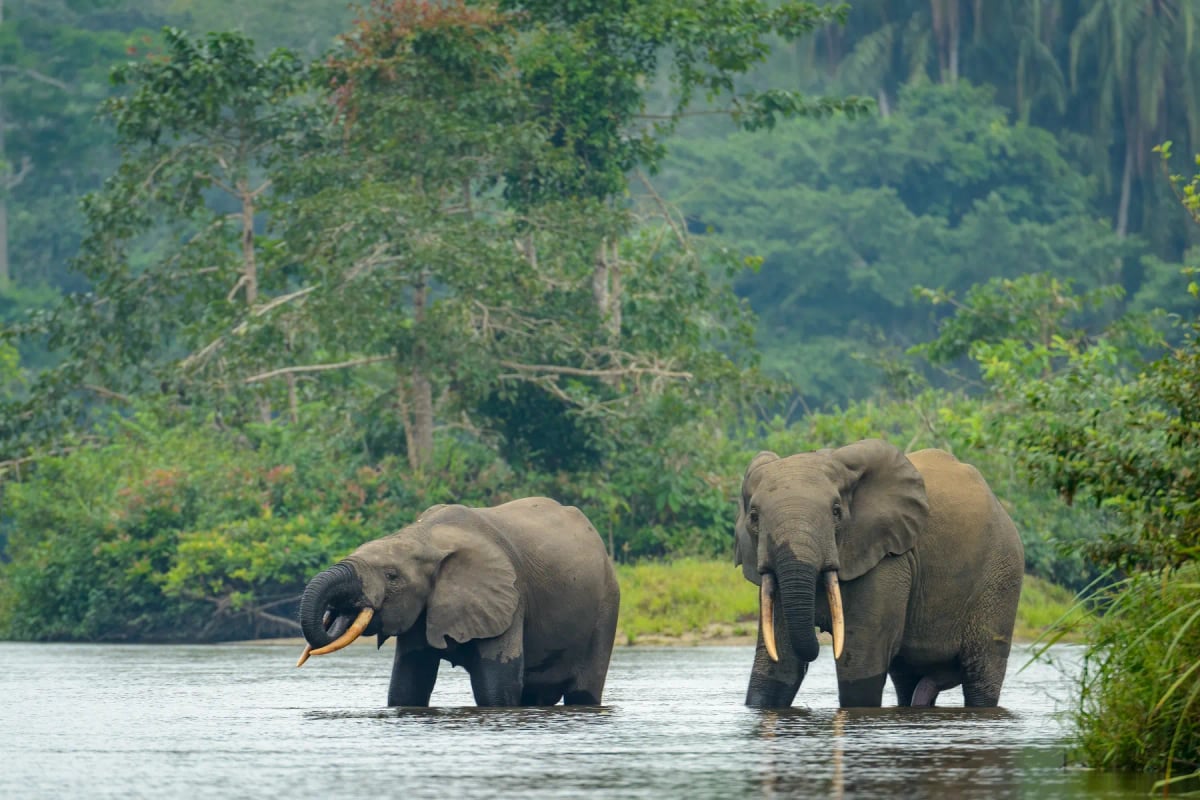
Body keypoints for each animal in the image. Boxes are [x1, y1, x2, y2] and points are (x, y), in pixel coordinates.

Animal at [296, 497, 620, 707]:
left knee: (584, 691)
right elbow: (408, 683)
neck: (425, 537)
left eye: (392, 576)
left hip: (607, 606)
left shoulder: (509, 598)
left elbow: (496, 687)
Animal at [734, 438, 1024, 708]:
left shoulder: (888, 561)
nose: (820, 635)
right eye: (754, 517)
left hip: (1002, 573)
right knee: (908, 678)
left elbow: (860, 665)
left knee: (982, 674)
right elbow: (777, 668)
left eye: (836, 512)